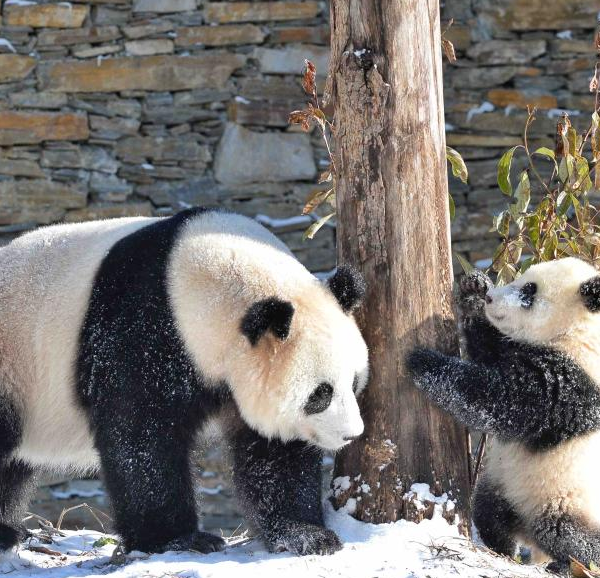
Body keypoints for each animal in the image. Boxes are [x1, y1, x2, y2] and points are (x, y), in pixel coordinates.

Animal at [0, 206, 370, 552]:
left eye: (353, 383)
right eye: (320, 394)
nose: (351, 435)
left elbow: (274, 453)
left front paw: (306, 535)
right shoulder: (140, 330)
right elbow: (140, 436)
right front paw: (178, 539)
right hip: (14, 362)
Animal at [410, 258, 600, 572]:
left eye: (529, 291)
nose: (491, 299)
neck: (578, 330)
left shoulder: (571, 383)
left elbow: (502, 401)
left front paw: (423, 362)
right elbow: (492, 350)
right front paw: (474, 290)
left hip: (564, 497)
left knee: (567, 534)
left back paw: (567, 563)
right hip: (503, 485)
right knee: (489, 512)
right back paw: (502, 546)